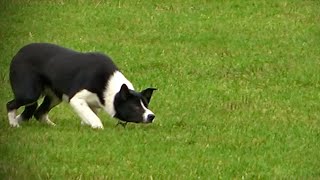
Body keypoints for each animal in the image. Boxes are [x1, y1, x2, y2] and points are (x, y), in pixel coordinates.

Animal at [6, 43, 157, 129]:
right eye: (135, 107)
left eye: (146, 105)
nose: (151, 116)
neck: (108, 85)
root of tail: (18, 53)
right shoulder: (76, 99)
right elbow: (93, 118)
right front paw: (97, 127)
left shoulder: (93, 104)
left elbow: (88, 115)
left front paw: (85, 125)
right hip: (30, 93)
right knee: (11, 104)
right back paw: (14, 124)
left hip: (55, 96)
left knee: (38, 112)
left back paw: (50, 126)